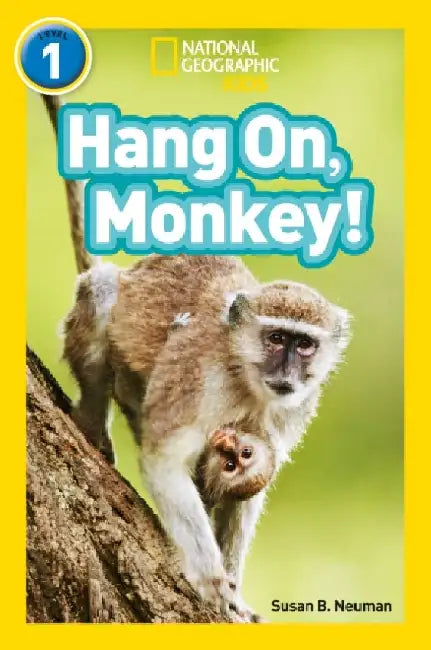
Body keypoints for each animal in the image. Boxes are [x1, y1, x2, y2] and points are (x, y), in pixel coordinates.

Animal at [43, 95, 351, 622]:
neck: (248, 381)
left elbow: (252, 491)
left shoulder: (292, 411)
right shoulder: (199, 382)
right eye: (277, 339)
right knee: (102, 290)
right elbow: (166, 460)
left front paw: (237, 590)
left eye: (305, 344)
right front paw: (213, 582)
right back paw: (91, 419)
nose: (288, 371)